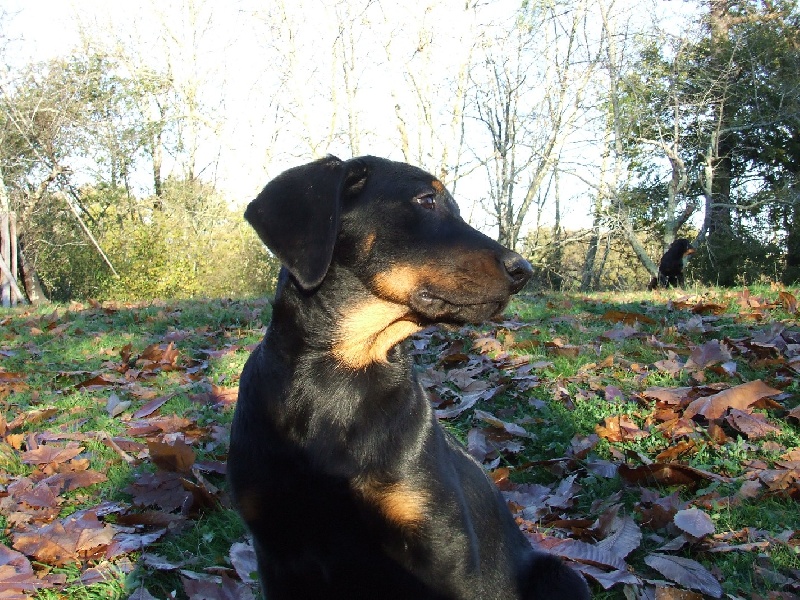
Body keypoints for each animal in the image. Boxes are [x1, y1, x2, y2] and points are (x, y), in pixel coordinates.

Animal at [228, 156, 592, 600]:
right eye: (426, 200)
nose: (524, 270)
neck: (341, 371)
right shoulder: (276, 553)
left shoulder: (444, 551)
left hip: (560, 575)